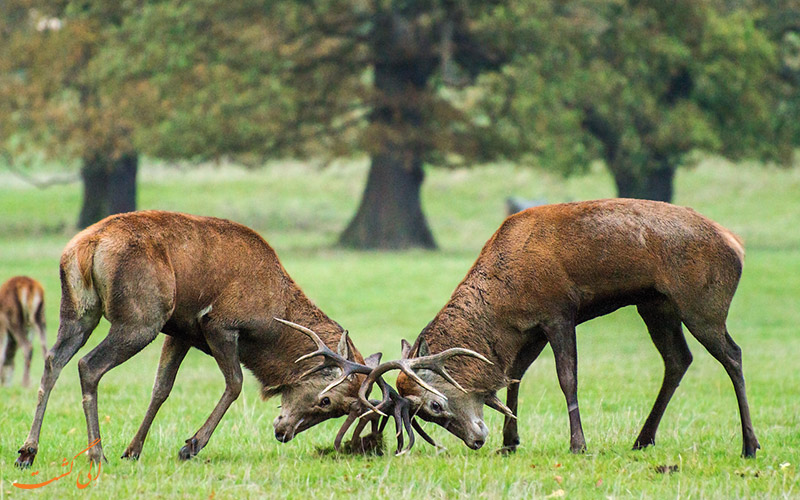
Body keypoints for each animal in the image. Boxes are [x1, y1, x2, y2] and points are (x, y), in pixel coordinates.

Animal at [13, 211, 368, 468]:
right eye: (327, 401)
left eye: (339, 411)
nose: (284, 433)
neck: (271, 319)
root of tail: (87, 246)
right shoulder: (220, 325)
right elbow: (235, 383)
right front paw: (190, 446)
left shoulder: (180, 332)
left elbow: (161, 388)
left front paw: (133, 450)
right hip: (141, 319)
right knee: (88, 365)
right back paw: (96, 454)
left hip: (78, 311)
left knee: (53, 360)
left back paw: (27, 451)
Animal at [366, 198, 760, 458]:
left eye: (434, 406)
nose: (476, 440)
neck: (507, 301)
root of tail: (736, 244)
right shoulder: (530, 329)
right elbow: (514, 376)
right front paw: (510, 441)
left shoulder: (558, 311)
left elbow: (567, 377)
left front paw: (578, 444)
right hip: (655, 305)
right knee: (678, 359)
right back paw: (642, 439)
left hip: (702, 304)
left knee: (733, 355)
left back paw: (749, 445)